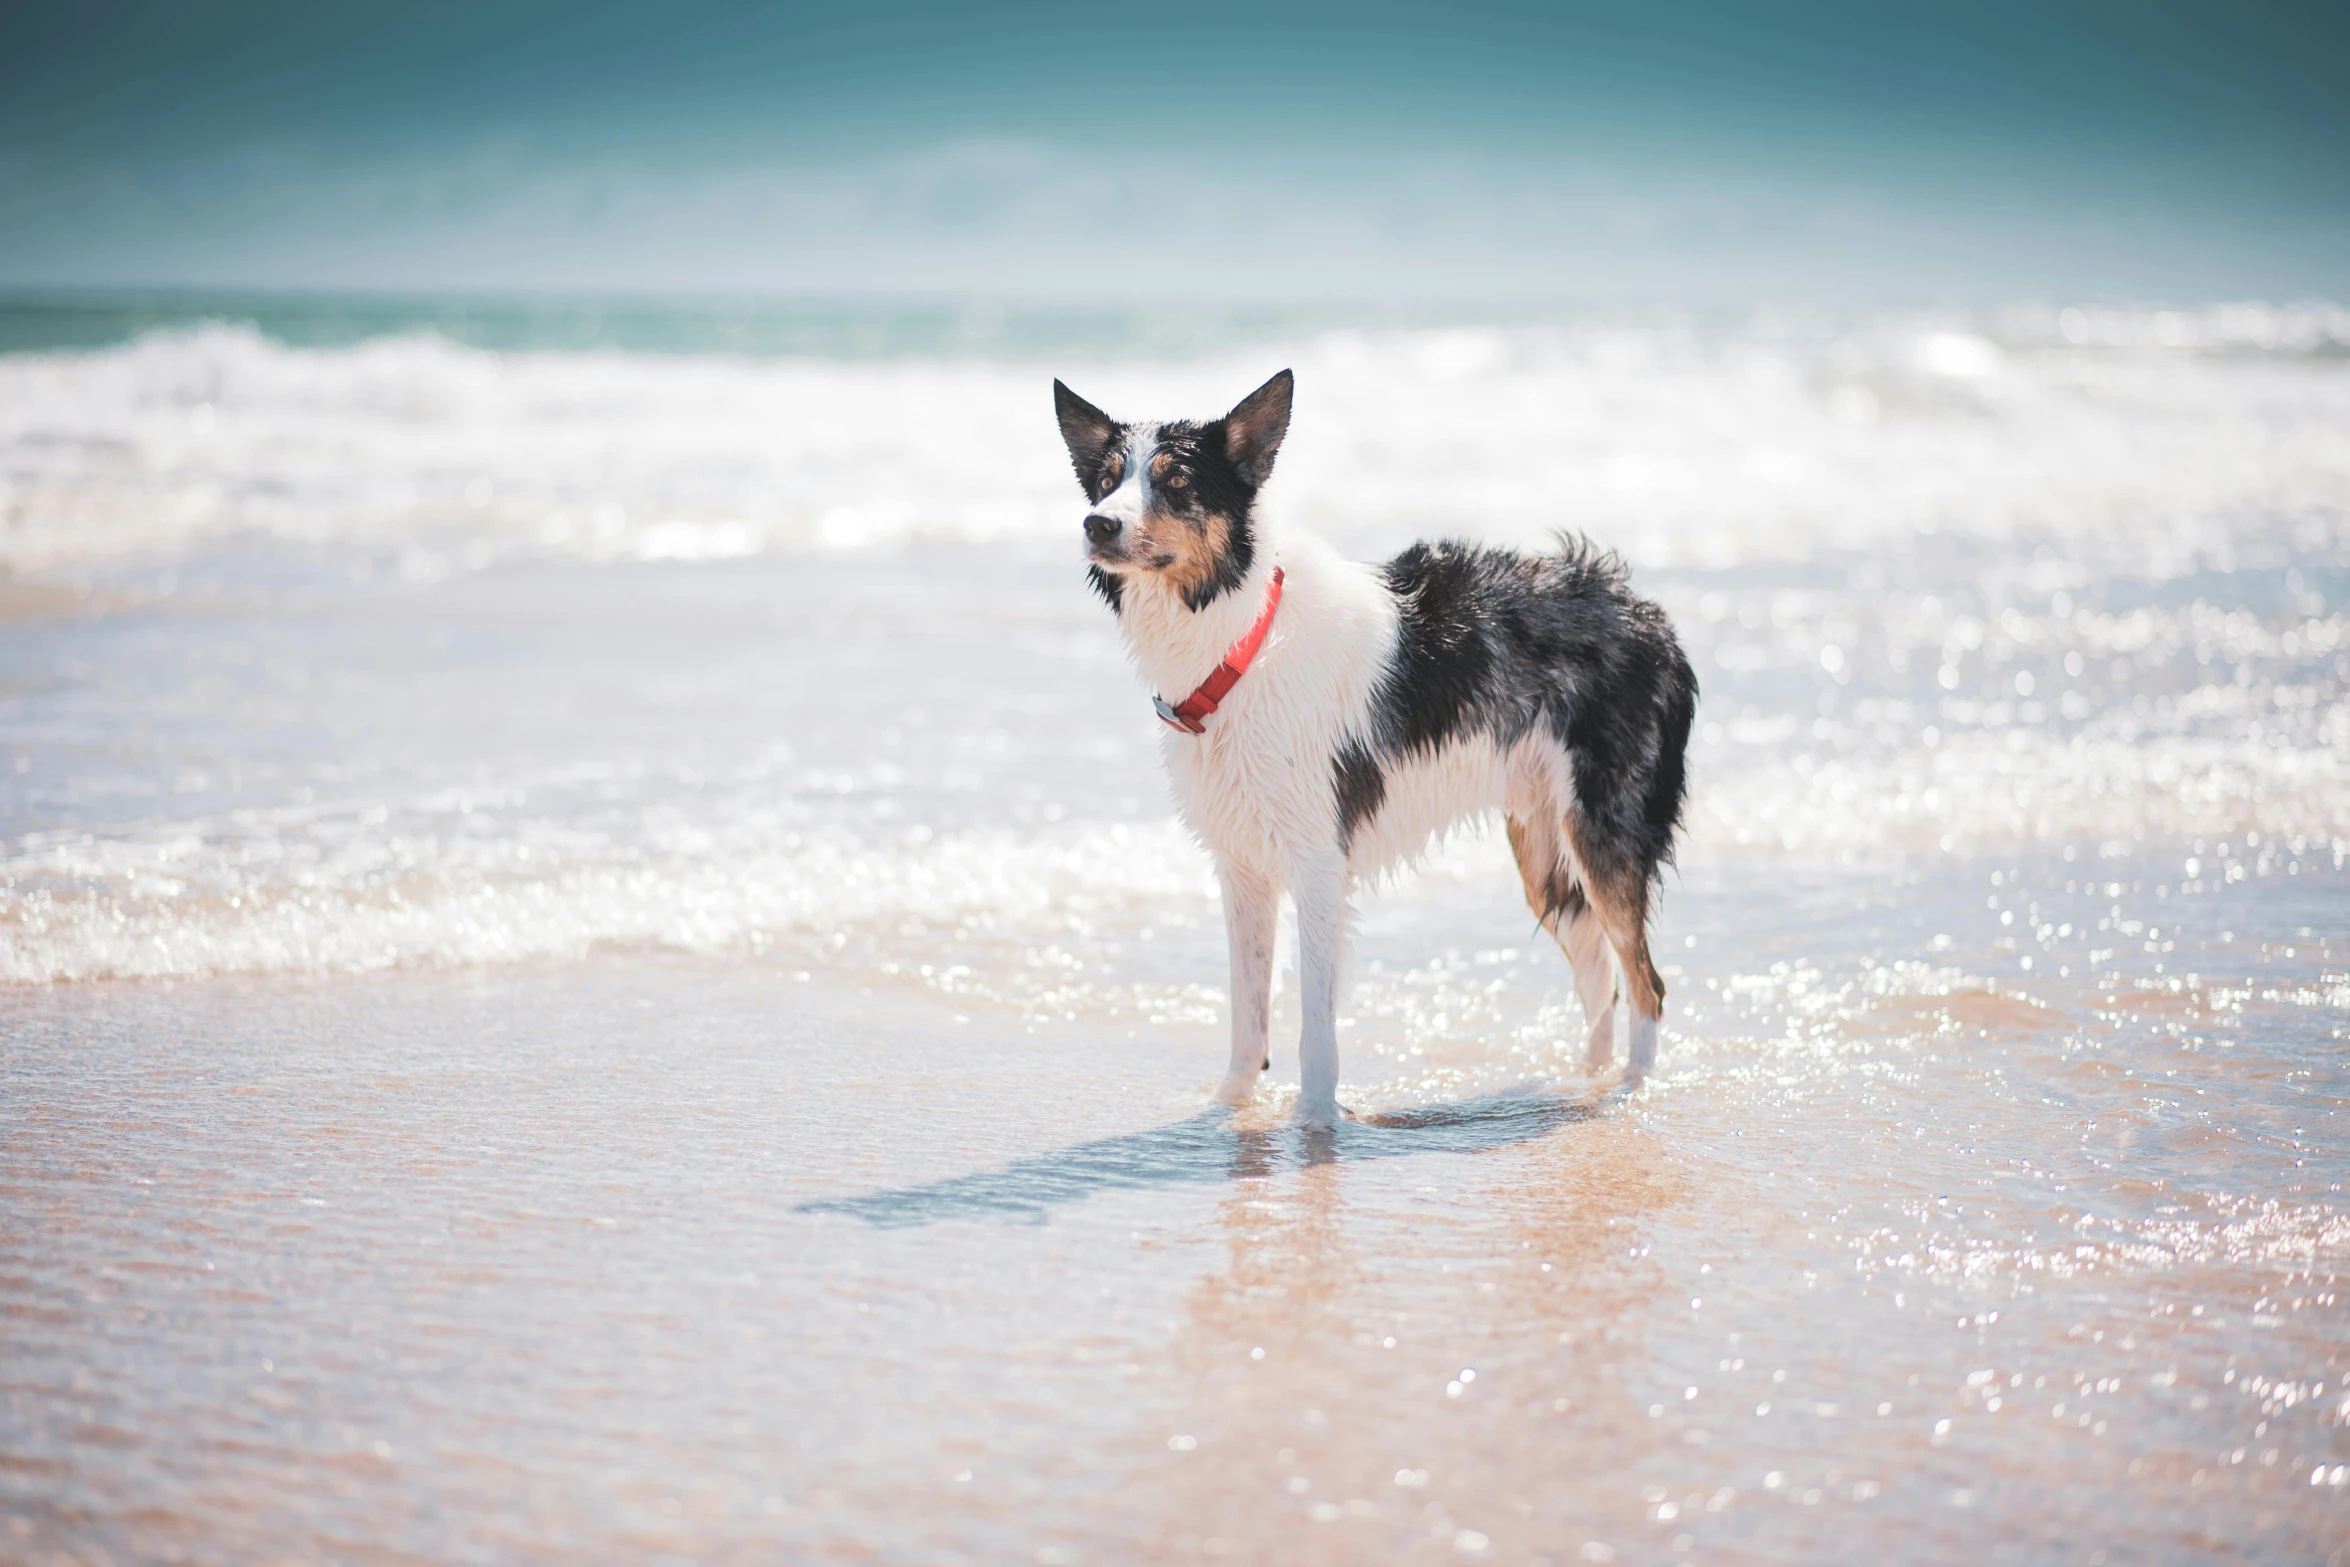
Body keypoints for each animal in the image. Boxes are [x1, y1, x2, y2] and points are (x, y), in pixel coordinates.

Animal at [1057, 368, 1701, 1127]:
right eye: (1105, 481)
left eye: (1176, 481)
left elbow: (1314, 1022)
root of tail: (1646, 613)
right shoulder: (1242, 867)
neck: (1243, 638)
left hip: (1603, 832)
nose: (1097, 524)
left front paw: (1314, 1123)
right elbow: (1249, 1015)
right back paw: (1587, 1083)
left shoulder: (1317, 865)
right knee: (1600, 972)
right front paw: (1230, 1110)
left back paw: (1628, 1092)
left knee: (1646, 981)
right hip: (1541, 844)